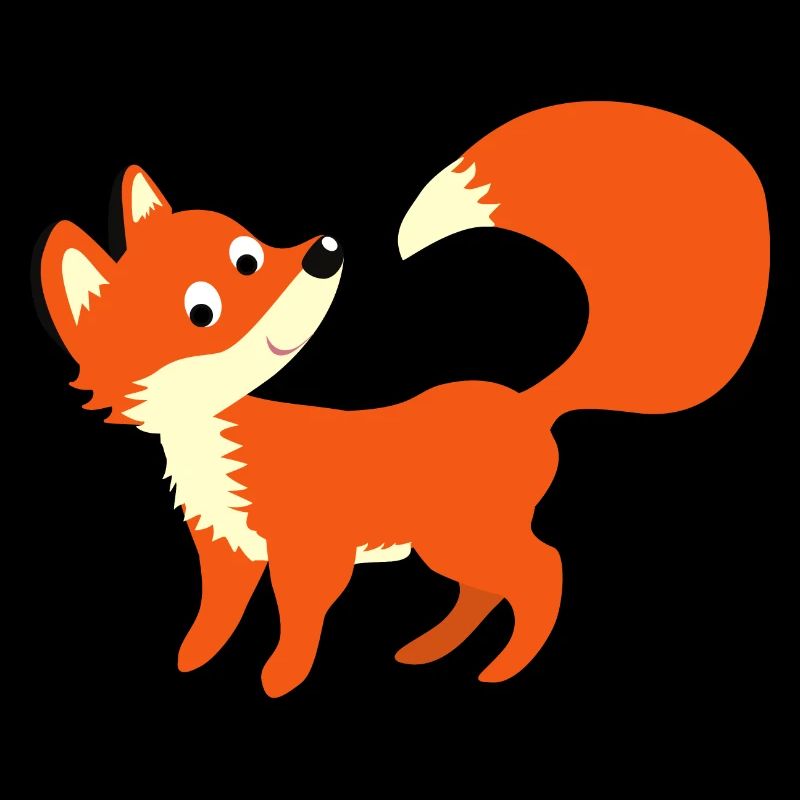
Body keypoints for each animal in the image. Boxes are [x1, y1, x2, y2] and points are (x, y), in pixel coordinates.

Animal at [36, 101, 768, 698]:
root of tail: (526, 402)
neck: (217, 444)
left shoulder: (310, 555)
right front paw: (193, 659)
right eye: (201, 312)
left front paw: (281, 679)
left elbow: (298, 624)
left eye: (248, 255)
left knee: (543, 572)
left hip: (463, 538)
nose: (324, 252)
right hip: (451, 545)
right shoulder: (225, 549)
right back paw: (430, 650)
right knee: (484, 593)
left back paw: (503, 669)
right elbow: (216, 615)